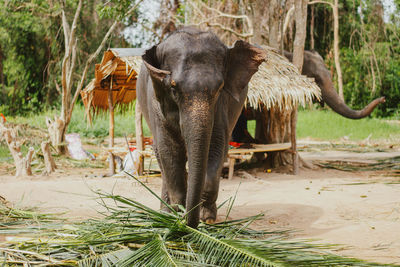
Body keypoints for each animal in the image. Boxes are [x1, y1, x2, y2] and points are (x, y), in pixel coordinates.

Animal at [137, 26, 266, 228]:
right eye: (173, 87)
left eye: (220, 87)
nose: (188, 221)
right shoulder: (156, 104)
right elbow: (170, 151)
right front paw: (177, 216)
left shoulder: (221, 107)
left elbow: (217, 146)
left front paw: (207, 219)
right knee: (161, 158)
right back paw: (165, 212)